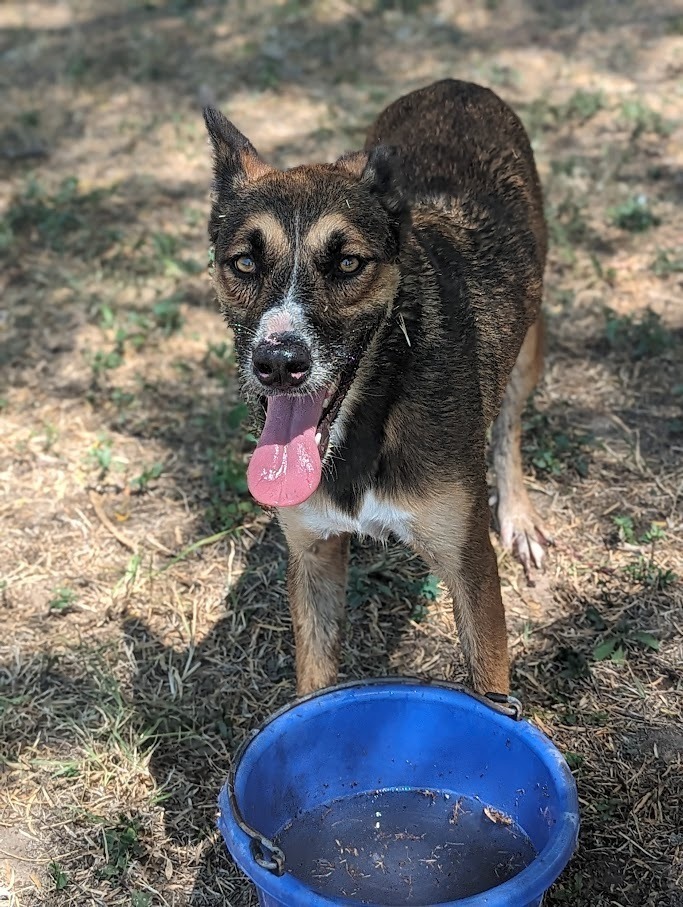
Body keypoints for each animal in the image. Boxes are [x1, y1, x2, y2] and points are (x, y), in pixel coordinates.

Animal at [202, 80, 552, 704]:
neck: (373, 411)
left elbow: (489, 687)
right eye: (243, 262)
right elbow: (314, 684)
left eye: (347, 263)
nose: (278, 364)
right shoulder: (313, 556)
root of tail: (455, 84)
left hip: (530, 342)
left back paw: (517, 513)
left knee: (508, 427)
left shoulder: (470, 568)